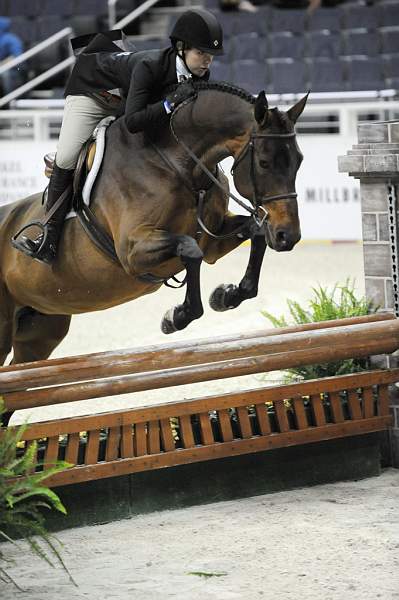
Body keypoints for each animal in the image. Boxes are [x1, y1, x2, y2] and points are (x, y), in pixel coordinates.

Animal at [0, 82, 306, 370]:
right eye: (264, 163)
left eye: (299, 161)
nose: (287, 235)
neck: (178, 165)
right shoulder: (132, 252)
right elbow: (190, 249)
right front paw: (176, 317)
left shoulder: (212, 242)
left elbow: (253, 233)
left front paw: (226, 295)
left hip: (41, 330)